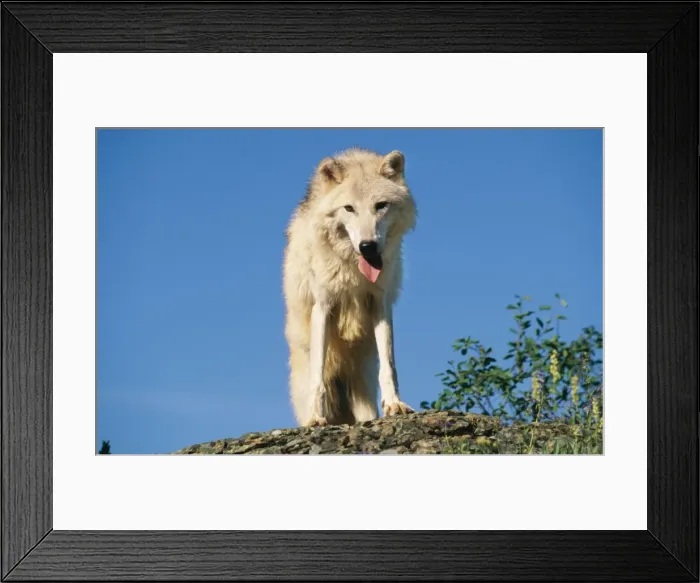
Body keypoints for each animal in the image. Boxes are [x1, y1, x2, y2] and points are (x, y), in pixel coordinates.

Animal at [282, 147, 417, 428]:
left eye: (381, 206)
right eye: (349, 208)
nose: (368, 246)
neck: (353, 268)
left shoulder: (380, 303)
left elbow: (389, 365)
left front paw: (395, 404)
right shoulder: (323, 307)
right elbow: (318, 377)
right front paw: (316, 417)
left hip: (361, 383)